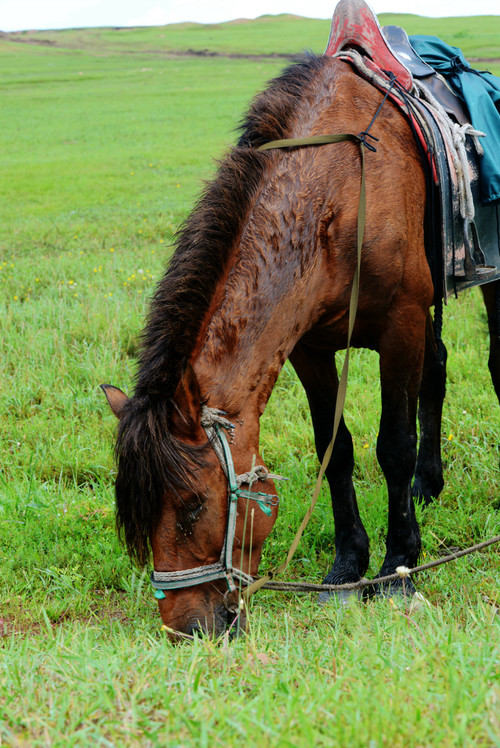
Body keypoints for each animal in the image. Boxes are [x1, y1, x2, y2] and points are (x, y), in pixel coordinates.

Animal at [99, 52, 494, 636]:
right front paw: (347, 566)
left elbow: (393, 447)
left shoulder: (399, 325)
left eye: (193, 505)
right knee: (438, 369)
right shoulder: (309, 349)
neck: (338, 193)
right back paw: (428, 486)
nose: (185, 629)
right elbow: (337, 450)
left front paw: (398, 568)